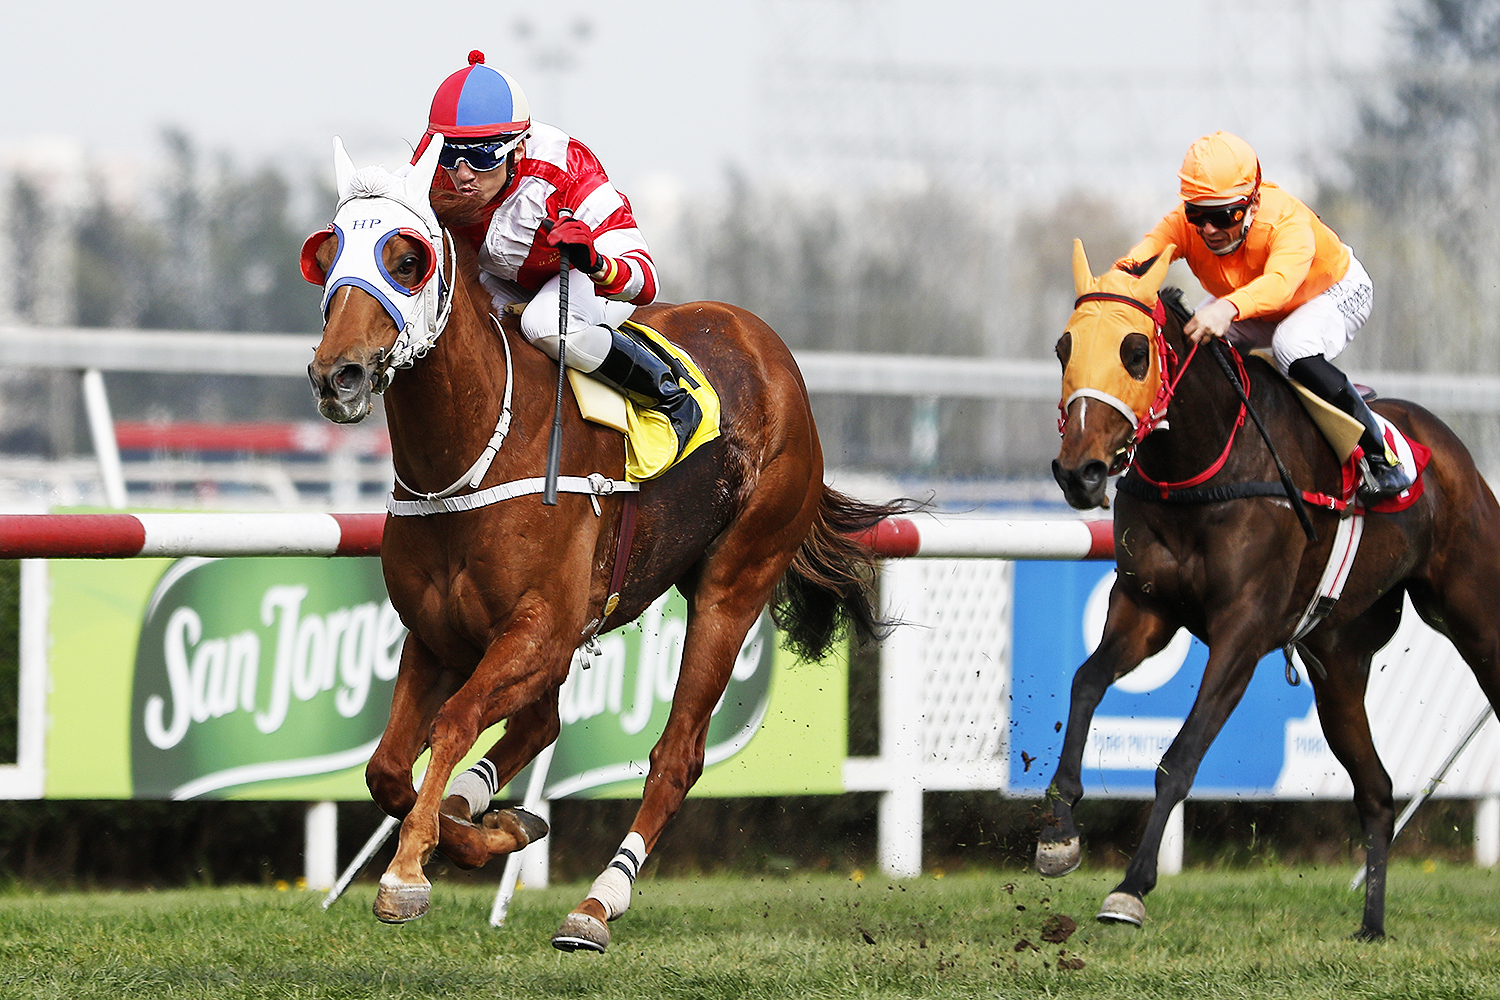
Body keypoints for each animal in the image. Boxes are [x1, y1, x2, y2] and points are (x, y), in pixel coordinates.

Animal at [301, 138, 906, 952]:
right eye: (327, 251)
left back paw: (597, 902)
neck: (476, 452)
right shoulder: (435, 635)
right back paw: (487, 813)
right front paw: (480, 831)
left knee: (676, 755)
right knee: (540, 725)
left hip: (735, 582)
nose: (337, 375)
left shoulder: (541, 630)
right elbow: (389, 768)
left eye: (407, 257)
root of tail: (768, 347)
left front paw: (407, 873)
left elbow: (454, 722)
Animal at [1042, 240, 1500, 940]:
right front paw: (1059, 834)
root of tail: (1454, 452)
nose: (1079, 473)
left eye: (1134, 351)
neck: (1200, 466)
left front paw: (1130, 887)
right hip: (1339, 663)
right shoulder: (1145, 607)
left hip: (1477, 616)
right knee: (1377, 790)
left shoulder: (1244, 628)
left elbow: (1181, 756)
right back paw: (1371, 926)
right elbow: (1086, 683)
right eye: (1064, 347)